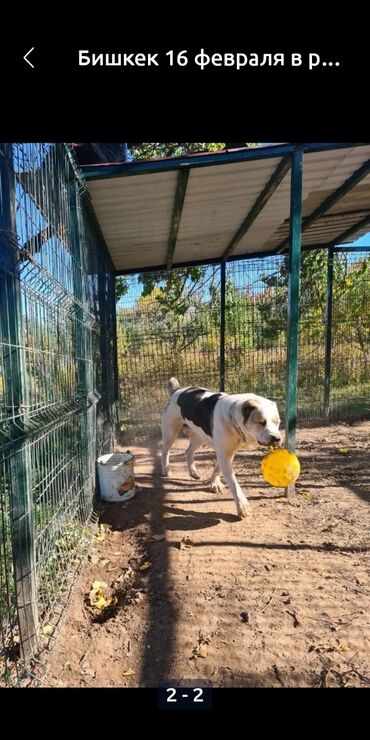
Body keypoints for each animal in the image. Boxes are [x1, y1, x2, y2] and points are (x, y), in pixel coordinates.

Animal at [160, 378, 282, 516]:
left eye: (277, 422)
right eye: (261, 422)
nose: (277, 439)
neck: (233, 418)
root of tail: (177, 390)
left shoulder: (227, 453)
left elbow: (217, 468)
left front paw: (215, 483)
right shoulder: (224, 454)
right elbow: (234, 483)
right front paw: (242, 505)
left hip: (200, 436)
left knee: (188, 451)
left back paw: (193, 472)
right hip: (171, 434)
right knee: (164, 450)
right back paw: (166, 469)